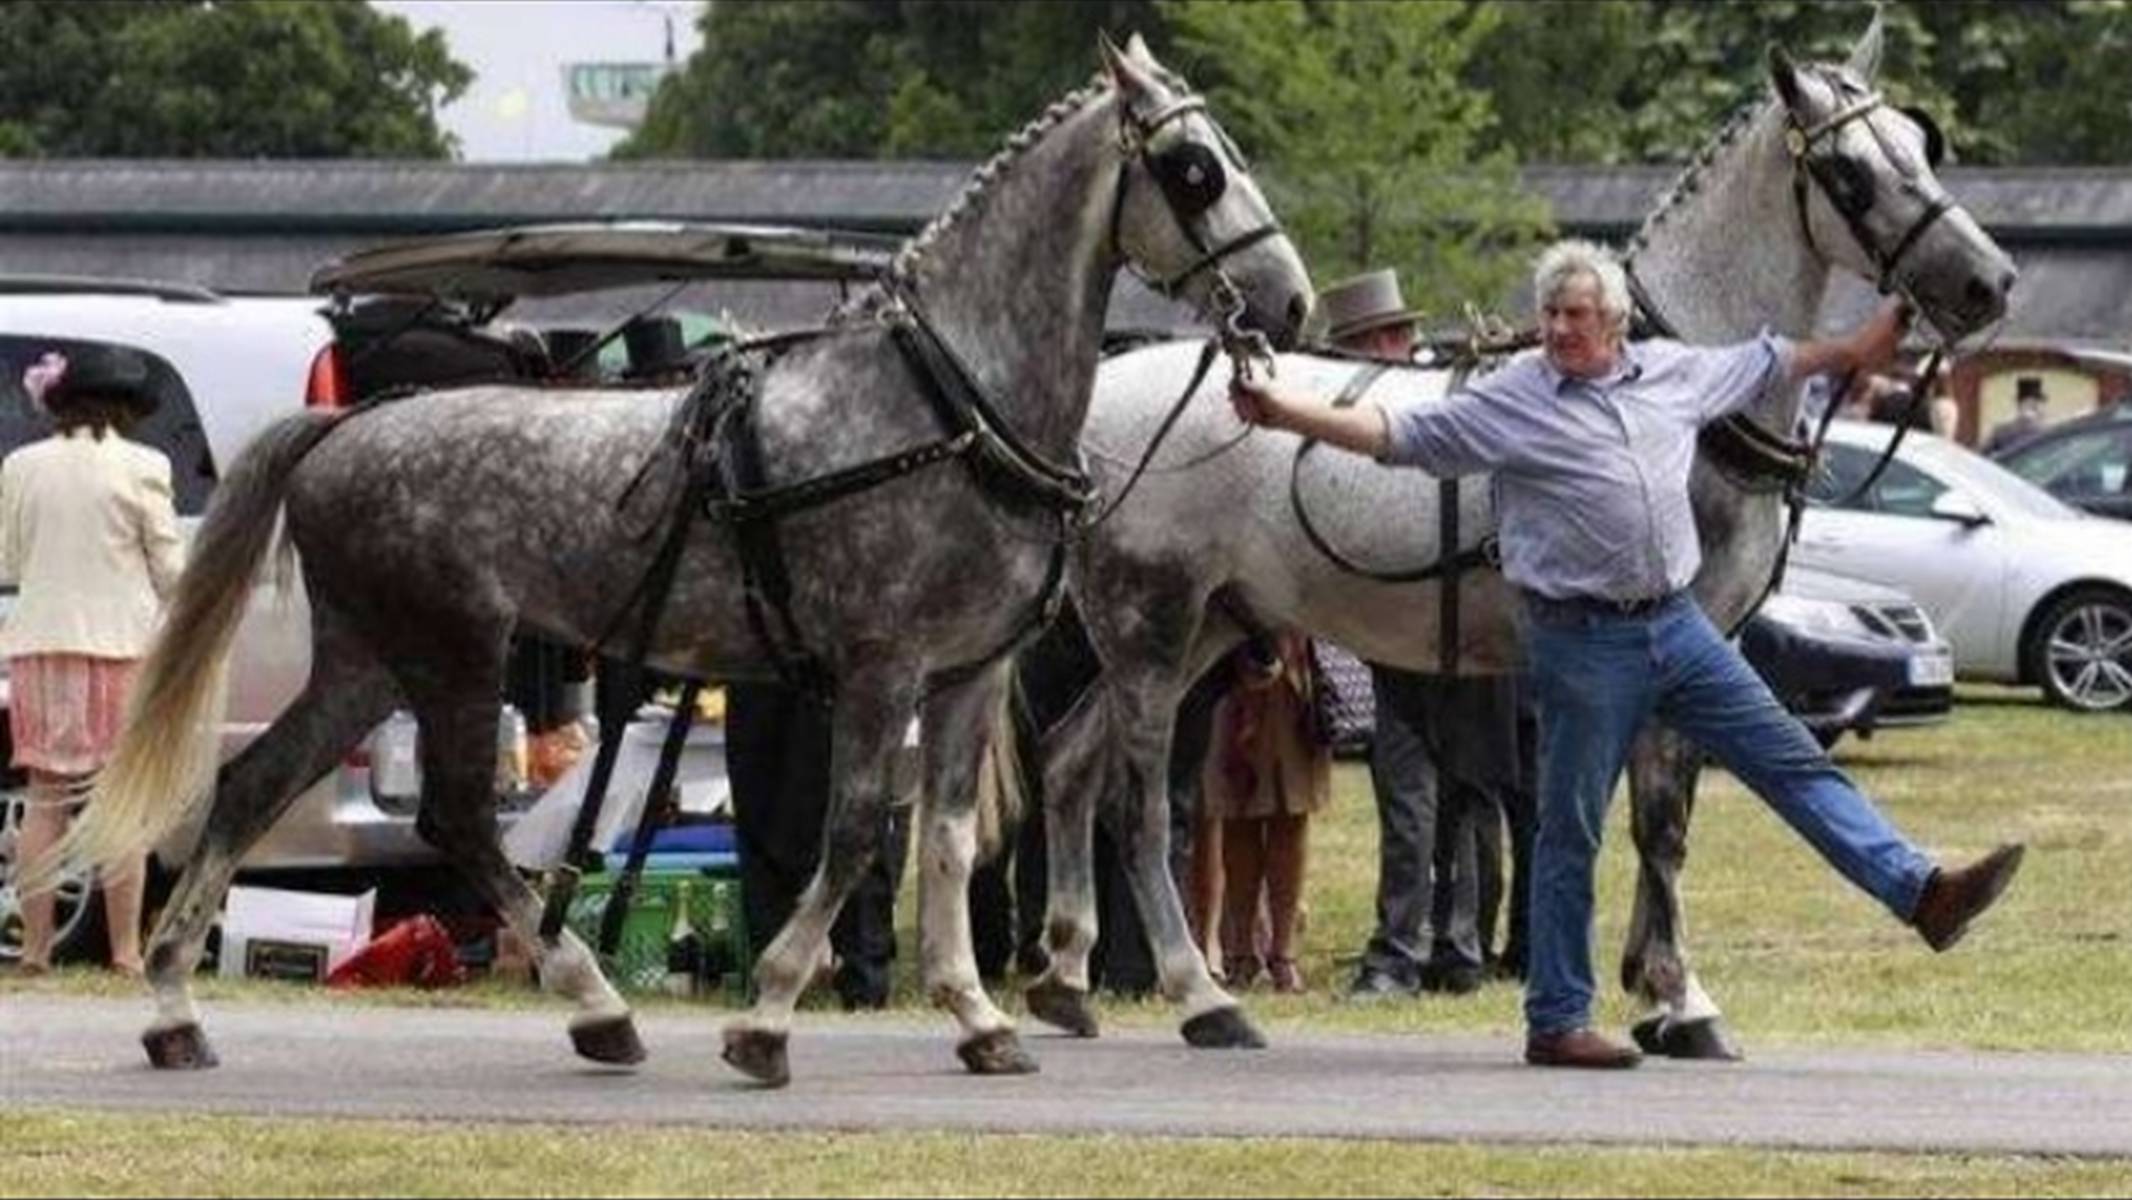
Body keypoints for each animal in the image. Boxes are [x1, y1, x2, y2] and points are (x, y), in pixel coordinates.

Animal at [50, 35, 1304, 1091]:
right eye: (1194, 168)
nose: (1285, 302)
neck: (947, 406)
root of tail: (346, 426)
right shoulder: (881, 666)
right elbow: (855, 833)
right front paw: (766, 1019)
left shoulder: (965, 672)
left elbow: (944, 842)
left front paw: (978, 1018)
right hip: (451, 654)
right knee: (457, 821)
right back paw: (595, 1004)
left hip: (371, 662)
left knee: (254, 789)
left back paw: (177, 1013)